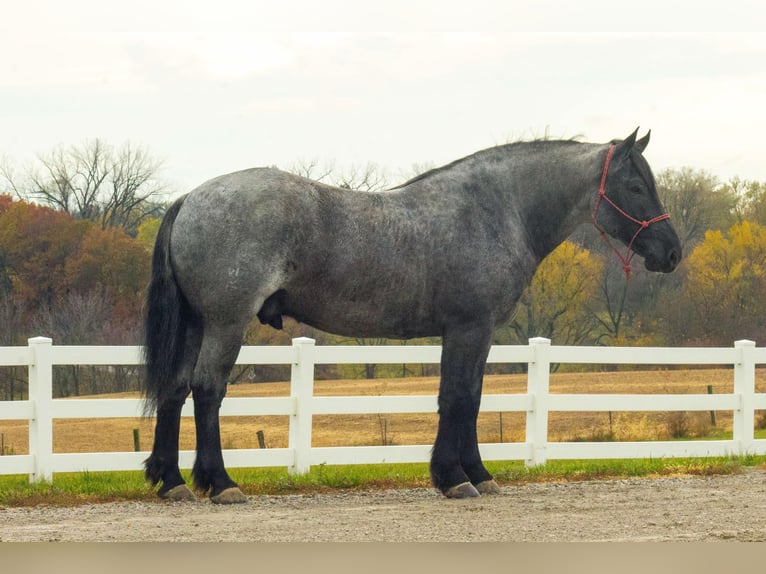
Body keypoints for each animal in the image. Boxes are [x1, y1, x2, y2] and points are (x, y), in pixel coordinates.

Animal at [144, 127, 684, 504]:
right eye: (635, 185)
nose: (672, 252)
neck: (494, 209)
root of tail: (190, 198)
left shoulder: (475, 333)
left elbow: (471, 399)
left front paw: (476, 474)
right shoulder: (468, 328)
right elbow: (458, 398)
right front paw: (456, 478)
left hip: (196, 324)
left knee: (173, 389)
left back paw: (171, 481)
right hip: (225, 323)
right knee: (207, 389)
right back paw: (220, 483)